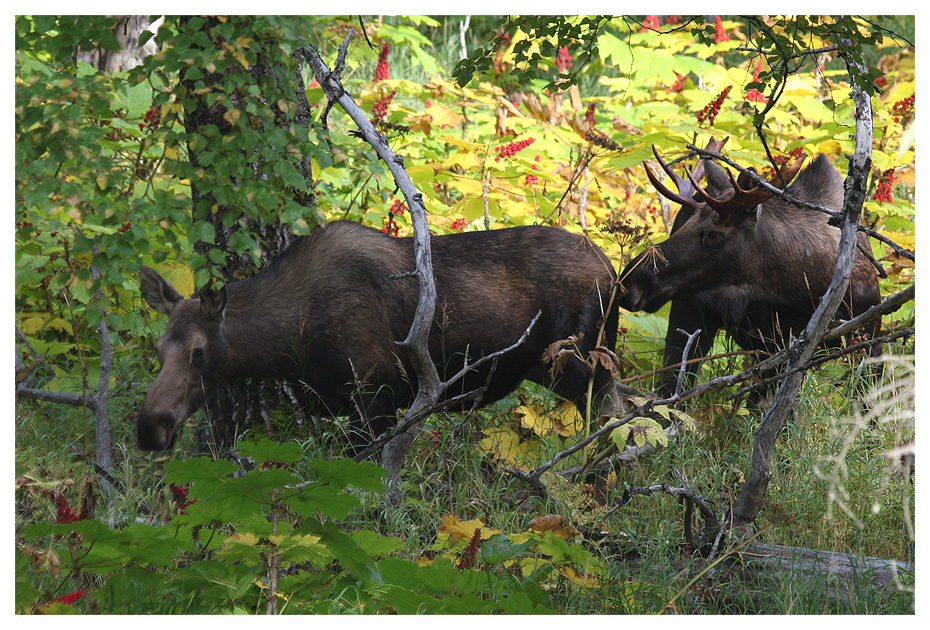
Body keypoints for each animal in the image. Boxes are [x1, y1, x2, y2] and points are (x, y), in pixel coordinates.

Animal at [134, 222, 620, 498]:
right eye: (159, 349)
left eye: (198, 351)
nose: (150, 427)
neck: (290, 341)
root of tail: (615, 272)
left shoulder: (376, 393)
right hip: (553, 366)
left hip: (581, 358)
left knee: (616, 414)